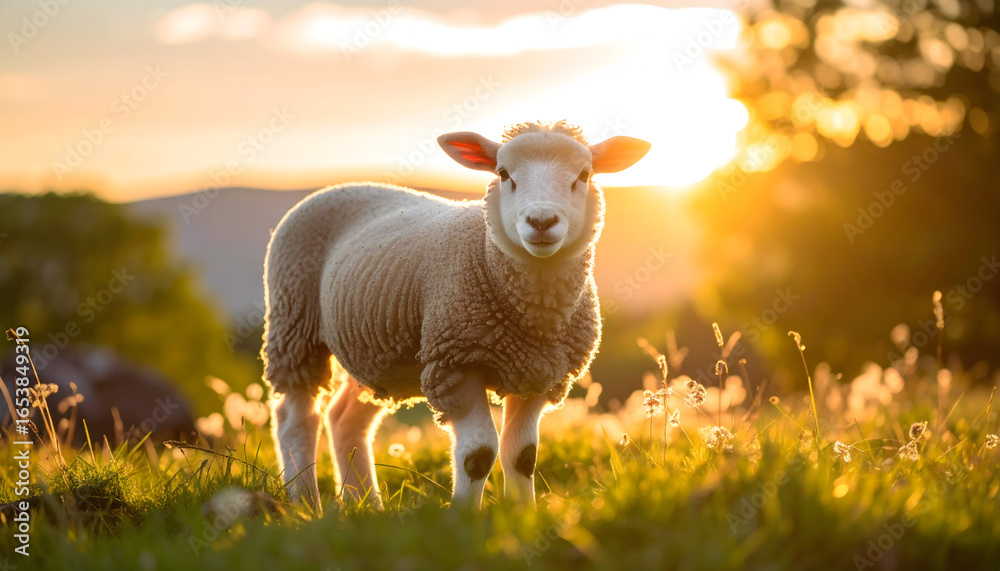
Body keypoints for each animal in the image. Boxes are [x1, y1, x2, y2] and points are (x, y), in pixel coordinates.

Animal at [261, 120, 650, 510]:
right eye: (503, 173)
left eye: (584, 175)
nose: (541, 221)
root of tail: (340, 186)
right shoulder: (455, 363)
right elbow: (478, 454)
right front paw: (463, 517)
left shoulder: (538, 373)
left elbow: (522, 455)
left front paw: (524, 514)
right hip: (293, 325)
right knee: (295, 417)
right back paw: (305, 501)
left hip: (376, 355)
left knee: (343, 419)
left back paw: (365, 505)